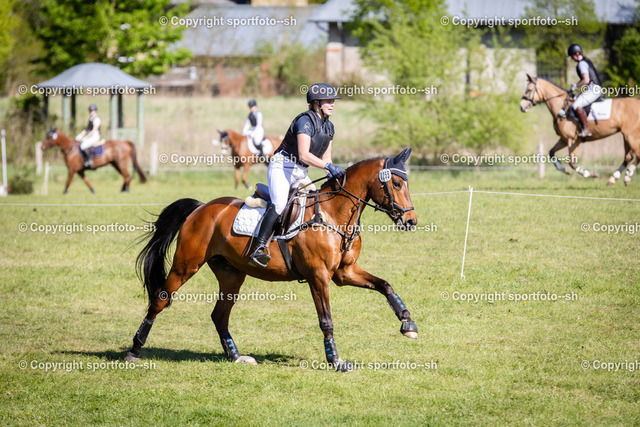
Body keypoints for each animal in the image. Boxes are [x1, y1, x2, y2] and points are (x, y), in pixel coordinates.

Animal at [126, 148, 418, 372]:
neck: (333, 215)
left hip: (231, 274)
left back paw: (236, 356)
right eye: (396, 184)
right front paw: (335, 360)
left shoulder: (345, 272)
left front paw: (407, 323)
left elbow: (385, 285)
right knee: (160, 300)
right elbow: (326, 320)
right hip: (186, 265)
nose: (411, 221)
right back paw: (134, 350)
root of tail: (201, 208)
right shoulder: (319, 276)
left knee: (219, 315)